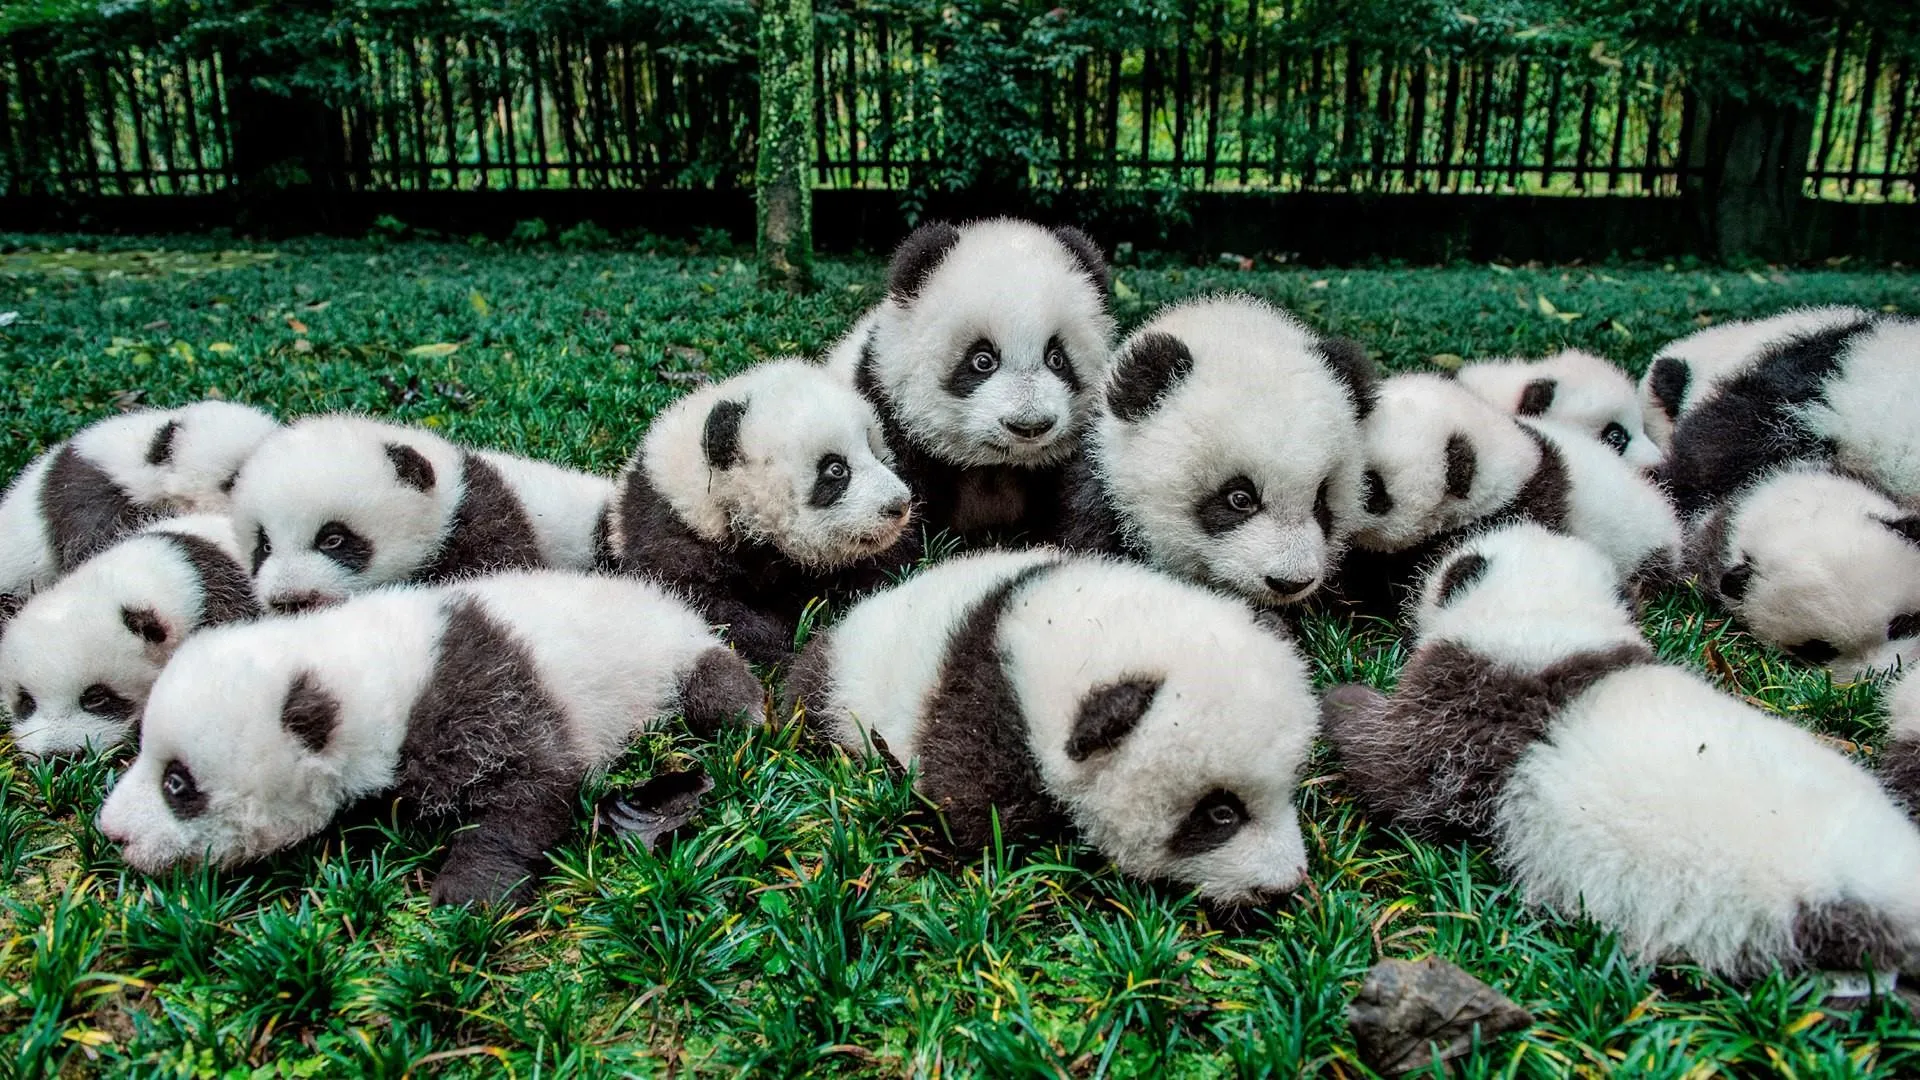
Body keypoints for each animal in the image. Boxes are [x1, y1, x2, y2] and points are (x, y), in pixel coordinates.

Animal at [95, 570, 763, 906]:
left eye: (177, 784)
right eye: (140, 751)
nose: (112, 832)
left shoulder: (481, 696)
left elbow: (533, 785)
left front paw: (468, 893)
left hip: (663, 654)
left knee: (712, 686)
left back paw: (747, 713)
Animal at [610, 358, 916, 665]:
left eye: (875, 453)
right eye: (836, 469)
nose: (899, 504)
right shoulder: (671, 536)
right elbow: (709, 609)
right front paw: (779, 648)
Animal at [786, 551, 1318, 906]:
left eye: (1289, 788)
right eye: (1220, 813)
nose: (1286, 883)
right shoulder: (988, 709)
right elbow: (971, 809)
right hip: (844, 687)